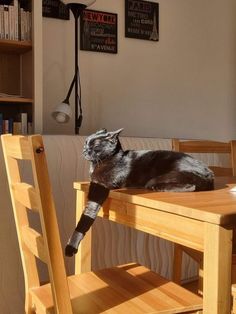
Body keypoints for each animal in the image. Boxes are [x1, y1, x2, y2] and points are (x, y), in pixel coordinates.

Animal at [65, 129, 214, 256]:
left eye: (95, 144)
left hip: (162, 177)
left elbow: (86, 217)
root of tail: (209, 173)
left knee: (191, 186)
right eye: (86, 142)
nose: (84, 149)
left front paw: (70, 248)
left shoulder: (100, 186)